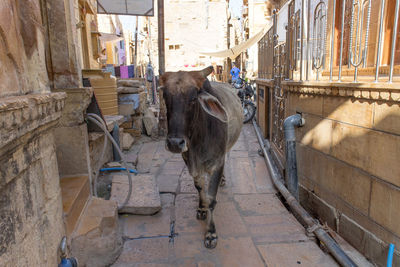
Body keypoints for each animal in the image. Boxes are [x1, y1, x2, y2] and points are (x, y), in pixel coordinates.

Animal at [160, 66, 242, 249]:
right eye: (165, 96)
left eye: (193, 98)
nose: (175, 143)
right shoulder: (191, 163)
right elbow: (200, 189)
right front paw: (201, 209)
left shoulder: (217, 163)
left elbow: (211, 198)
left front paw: (211, 233)